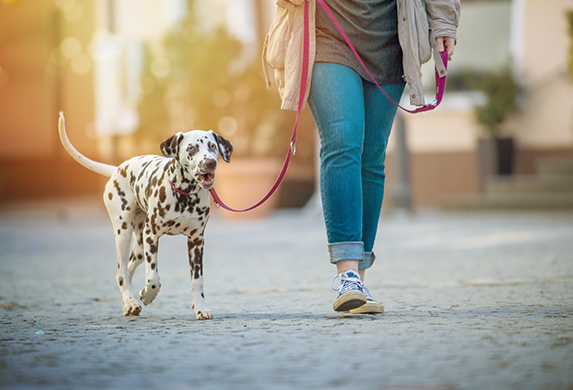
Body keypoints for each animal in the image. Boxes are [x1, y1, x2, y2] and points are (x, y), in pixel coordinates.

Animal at [55, 111, 230, 318]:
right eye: (191, 148)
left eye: (213, 146)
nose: (211, 162)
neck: (184, 194)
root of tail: (117, 169)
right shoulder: (151, 236)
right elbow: (153, 277)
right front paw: (148, 294)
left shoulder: (196, 241)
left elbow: (197, 280)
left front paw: (201, 308)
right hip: (124, 233)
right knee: (121, 272)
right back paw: (131, 302)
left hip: (139, 247)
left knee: (127, 272)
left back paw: (128, 302)